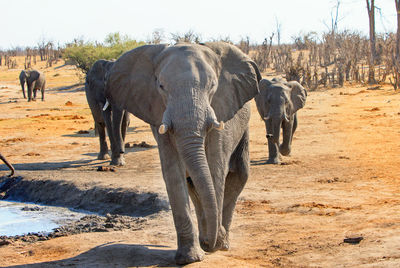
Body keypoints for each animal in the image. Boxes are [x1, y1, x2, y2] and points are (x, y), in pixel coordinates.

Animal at [104, 42, 260, 264]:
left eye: (213, 86)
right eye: (161, 86)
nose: (213, 242)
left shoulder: (221, 110)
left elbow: (215, 170)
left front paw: (214, 243)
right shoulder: (157, 113)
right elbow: (173, 172)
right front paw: (190, 258)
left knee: (239, 174)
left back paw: (222, 243)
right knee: (192, 182)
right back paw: (207, 240)